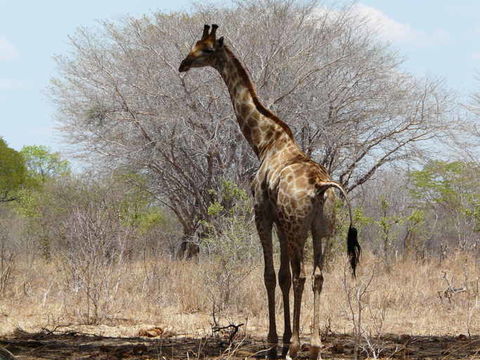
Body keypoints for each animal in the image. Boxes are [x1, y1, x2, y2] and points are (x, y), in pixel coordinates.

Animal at [180, 23, 360, 358]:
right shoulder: (280, 222)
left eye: (206, 49)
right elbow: (283, 276)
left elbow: (269, 275)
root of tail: (321, 186)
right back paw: (315, 345)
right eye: (194, 44)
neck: (264, 141)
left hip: (298, 227)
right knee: (317, 276)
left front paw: (276, 342)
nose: (183, 64)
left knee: (302, 276)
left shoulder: (262, 214)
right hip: (321, 228)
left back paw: (296, 347)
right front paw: (286, 338)